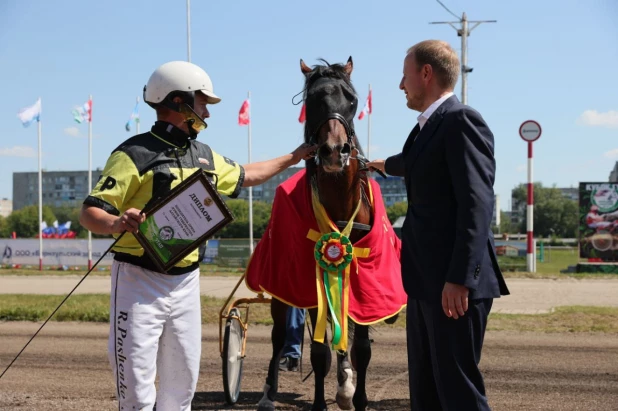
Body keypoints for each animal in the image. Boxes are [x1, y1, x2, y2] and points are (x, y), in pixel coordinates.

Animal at [250, 56, 404, 410]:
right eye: (313, 100)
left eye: (352, 99)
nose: (335, 151)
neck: (340, 206)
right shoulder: (308, 280)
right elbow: (319, 351)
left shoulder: (362, 277)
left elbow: (361, 347)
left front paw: (355, 394)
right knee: (278, 337)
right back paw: (268, 393)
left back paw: (344, 382)